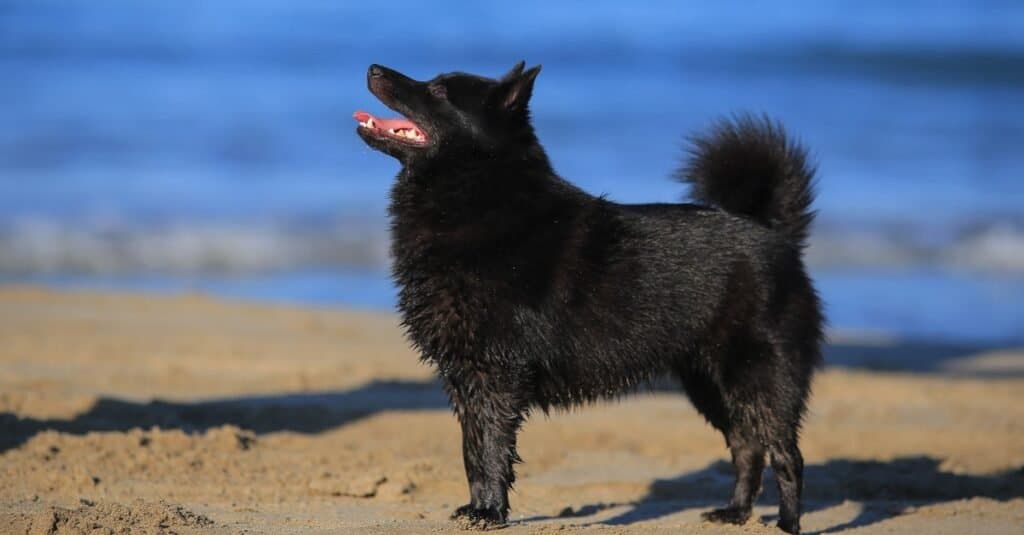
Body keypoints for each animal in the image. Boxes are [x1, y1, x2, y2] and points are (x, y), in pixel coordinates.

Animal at [352, 60, 823, 528]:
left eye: (439, 91)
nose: (373, 67)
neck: (480, 200)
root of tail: (774, 233)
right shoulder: (463, 376)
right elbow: (472, 451)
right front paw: (477, 507)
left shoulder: (496, 374)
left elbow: (491, 449)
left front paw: (490, 513)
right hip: (710, 384)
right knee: (747, 447)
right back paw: (735, 513)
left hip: (760, 379)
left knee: (787, 456)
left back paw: (787, 524)